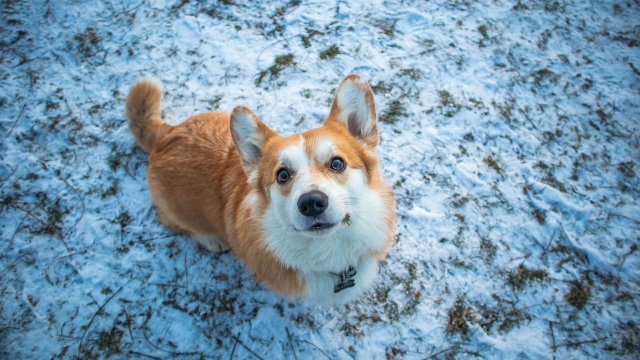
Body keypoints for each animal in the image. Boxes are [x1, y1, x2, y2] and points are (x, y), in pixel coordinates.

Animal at [125, 75, 396, 304]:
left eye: (337, 163)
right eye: (282, 175)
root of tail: (167, 133)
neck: (329, 249)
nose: (311, 203)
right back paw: (211, 239)